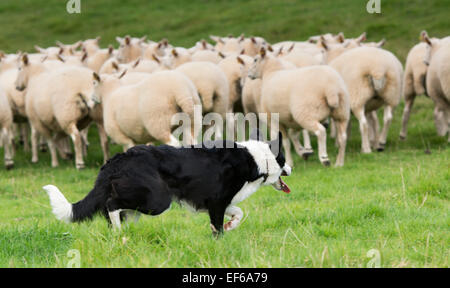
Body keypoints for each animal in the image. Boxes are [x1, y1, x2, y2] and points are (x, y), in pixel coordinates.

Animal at [44, 130, 292, 236]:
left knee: (113, 210)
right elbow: (219, 226)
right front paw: (220, 238)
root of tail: (117, 159)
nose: (291, 169)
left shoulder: (217, 202)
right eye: (284, 159)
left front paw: (232, 226)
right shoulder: (216, 201)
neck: (257, 158)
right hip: (157, 200)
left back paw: (119, 235)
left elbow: (238, 212)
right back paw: (119, 231)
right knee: (112, 205)